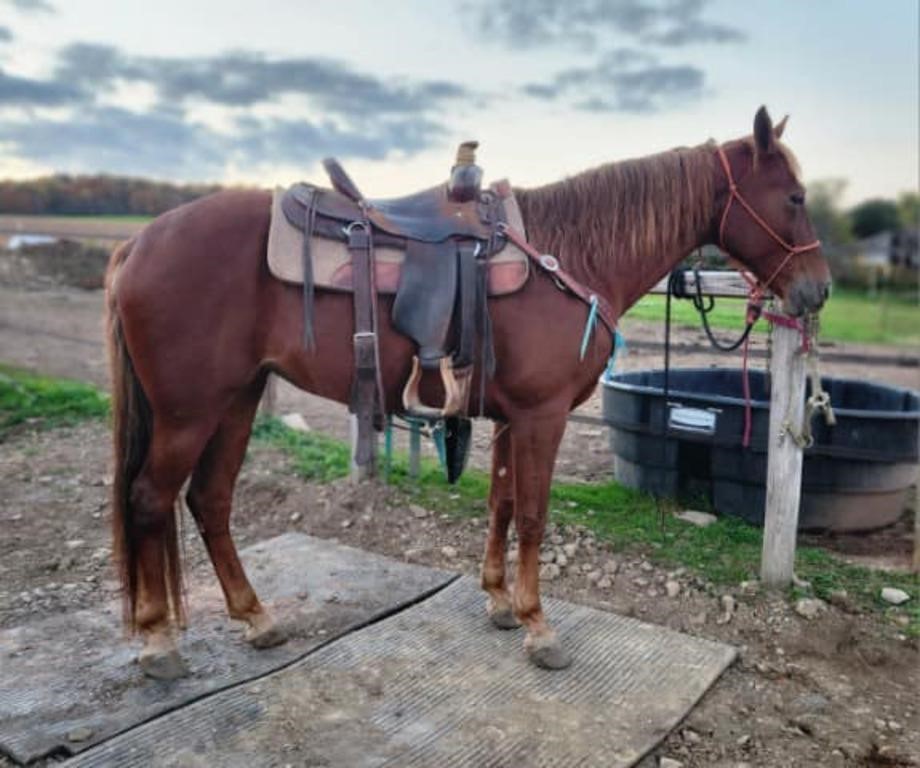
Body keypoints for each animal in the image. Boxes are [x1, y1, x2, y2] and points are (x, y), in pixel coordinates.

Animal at [104, 108, 832, 680]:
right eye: (794, 197)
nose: (817, 290)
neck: (569, 255)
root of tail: (137, 243)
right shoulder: (541, 417)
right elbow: (533, 514)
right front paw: (539, 626)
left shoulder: (511, 418)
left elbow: (502, 504)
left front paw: (500, 603)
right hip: (188, 411)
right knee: (149, 499)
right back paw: (159, 640)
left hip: (237, 399)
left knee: (209, 499)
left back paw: (255, 619)